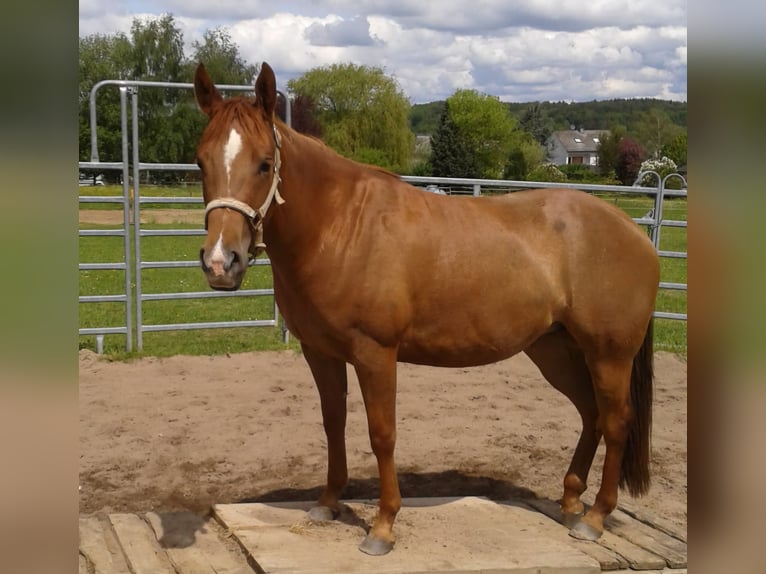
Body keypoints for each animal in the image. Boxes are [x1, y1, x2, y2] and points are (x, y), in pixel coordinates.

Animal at [193, 62, 660, 556]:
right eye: (201, 161)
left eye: (265, 163)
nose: (221, 262)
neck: (340, 226)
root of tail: (634, 232)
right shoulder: (320, 352)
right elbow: (333, 422)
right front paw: (328, 502)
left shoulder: (376, 354)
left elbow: (382, 434)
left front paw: (382, 526)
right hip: (556, 349)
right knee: (591, 414)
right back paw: (570, 501)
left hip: (609, 354)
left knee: (617, 422)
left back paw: (595, 516)